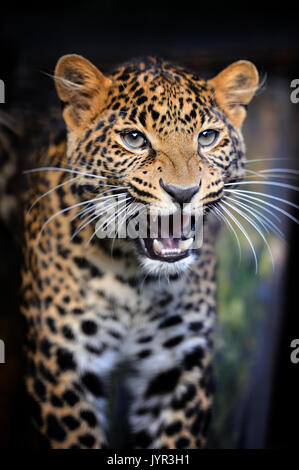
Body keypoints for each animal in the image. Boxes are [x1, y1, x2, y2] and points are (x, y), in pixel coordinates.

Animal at [18, 54, 258, 448]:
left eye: (207, 137)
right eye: (134, 139)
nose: (183, 192)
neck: (135, 282)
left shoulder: (180, 362)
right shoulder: (62, 361)